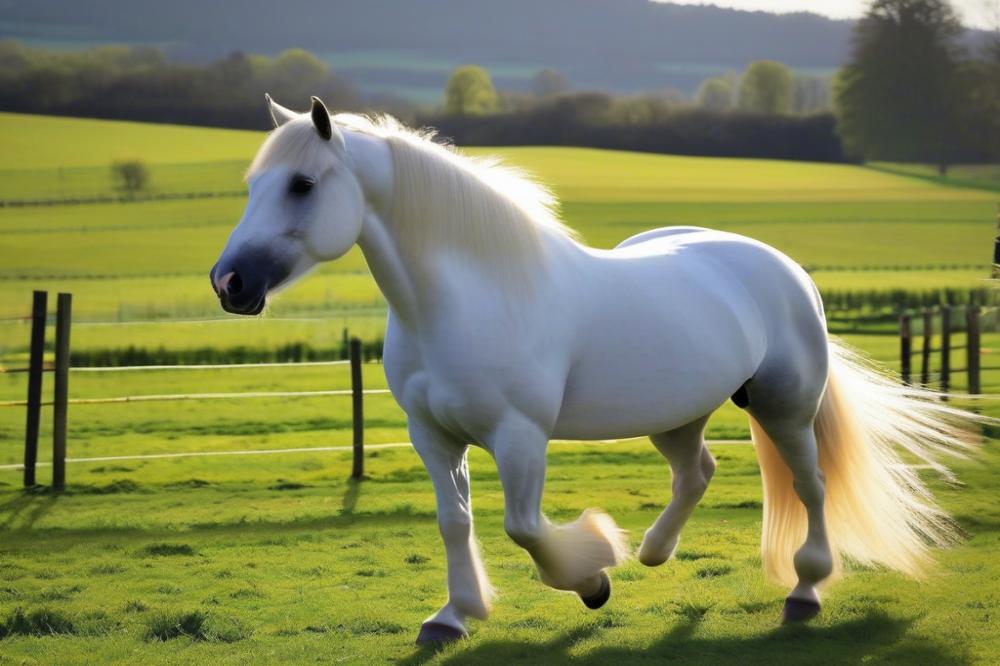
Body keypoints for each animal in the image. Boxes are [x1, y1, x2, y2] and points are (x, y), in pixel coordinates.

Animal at [209, 96, 976, 640]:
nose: (229, 283)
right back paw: (655, 553)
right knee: (697, 473)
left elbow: (523, 526)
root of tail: (783, 268)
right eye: (252, 185)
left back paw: (805, 591)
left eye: (303, 184)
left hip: (784, 406)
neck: (467, 298)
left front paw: (591, 577)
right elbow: (455, 521)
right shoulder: (433, 435)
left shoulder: (519, 435)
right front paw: (452, 617)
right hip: (677, 413)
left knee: (809, 485)